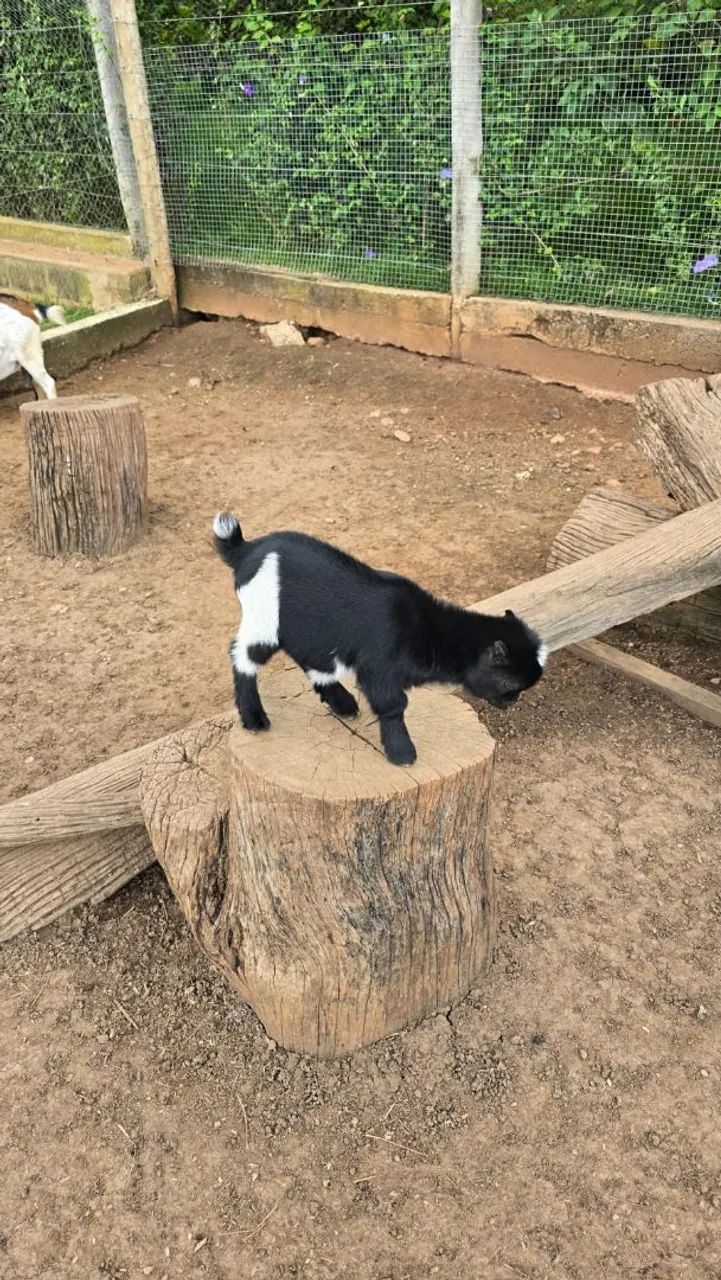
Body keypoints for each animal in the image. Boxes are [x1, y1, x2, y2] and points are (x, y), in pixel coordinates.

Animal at [214, 513, 546, 766]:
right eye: (510, 685)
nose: (512, 702)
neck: (425, 629)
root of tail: (246, 550)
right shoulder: (380, 667)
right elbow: (392, 705)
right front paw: (403, 753)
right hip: (263, 617)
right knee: (242, 655)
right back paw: (254, 718)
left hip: (305, 628)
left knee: (310, 658)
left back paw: (342, 703)